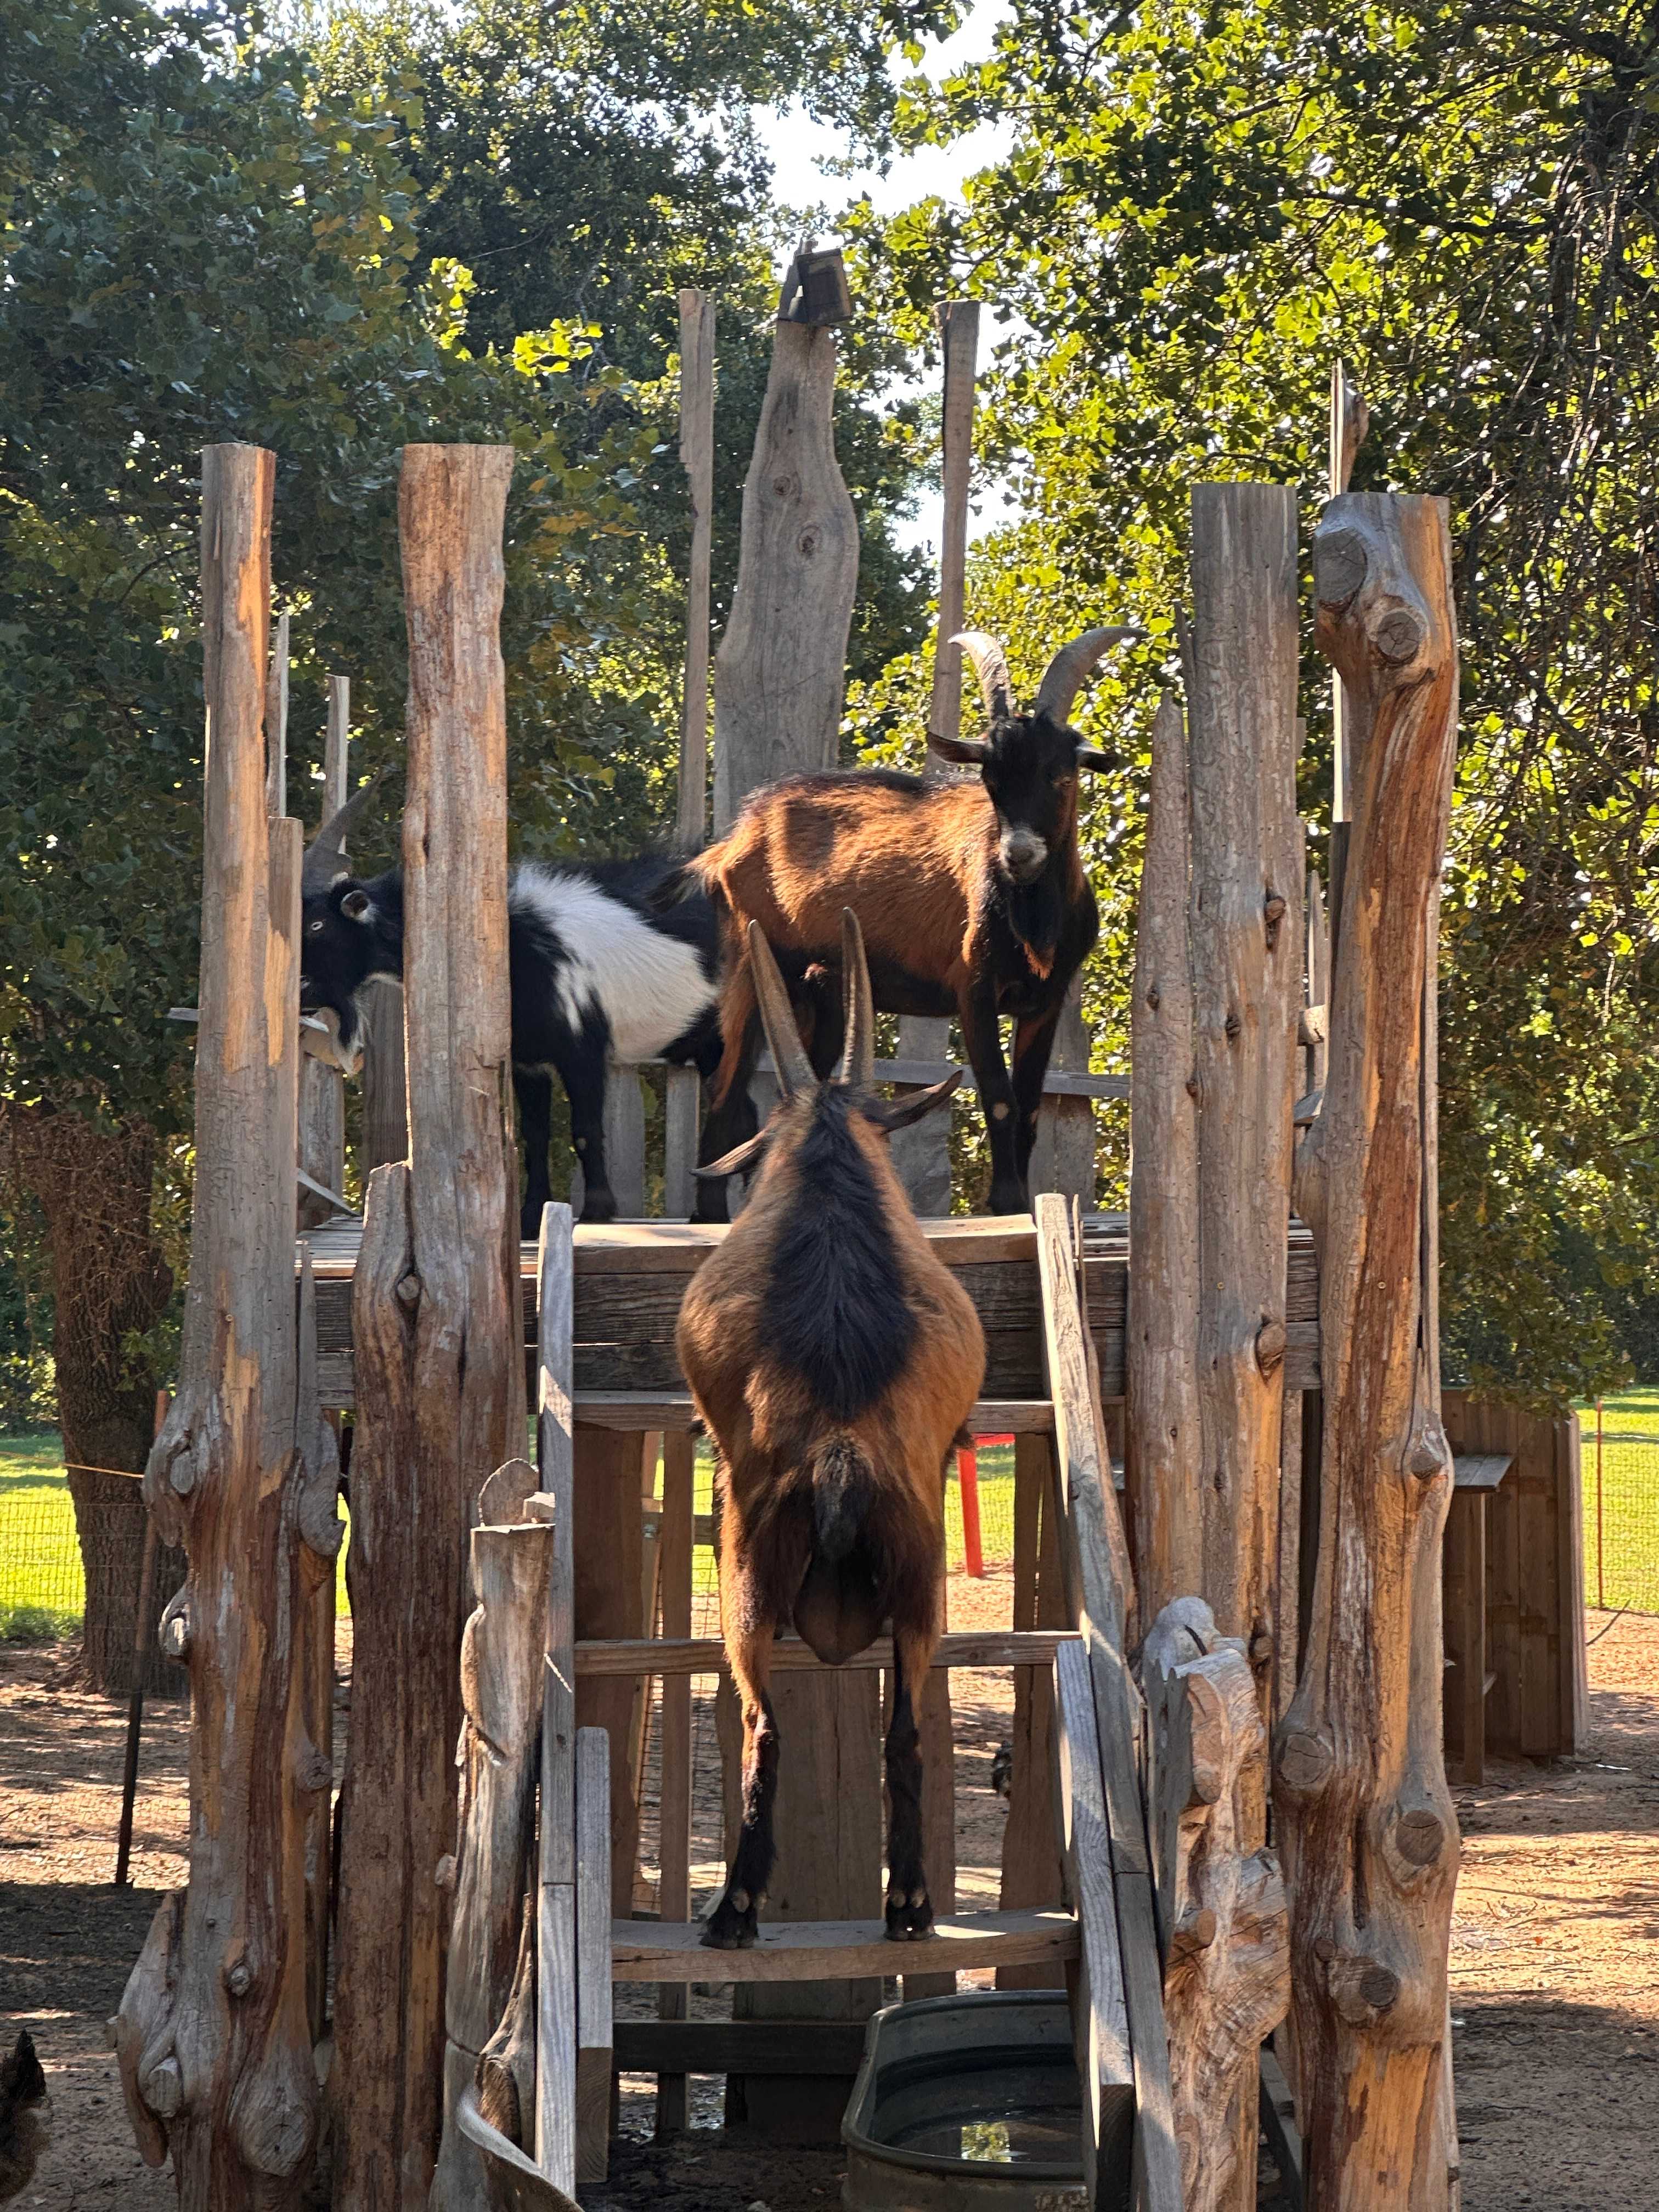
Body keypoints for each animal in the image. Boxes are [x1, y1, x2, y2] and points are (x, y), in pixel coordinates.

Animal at [298, 789, 759, 1231]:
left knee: (730, 1106)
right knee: (744, 1110)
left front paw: (596, 1211)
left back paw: (712, 1211)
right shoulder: (527, 1058)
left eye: (318, 925)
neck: (511, 938)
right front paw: (530, 1217)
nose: (299, 989)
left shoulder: (582, 1048)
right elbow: (534, 1135)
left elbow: (585, 1130)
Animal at [676, 910, 985, 1949]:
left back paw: (733, 1909)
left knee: (763, 1723)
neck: (826, 1151)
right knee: (908, 1730)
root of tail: (841, 1456)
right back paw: (910, 1904)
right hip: (923, 1583)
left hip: (747, 1574)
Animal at [677, 626, 1137, 1215]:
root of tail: (732, 841)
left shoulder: (1046, 1000)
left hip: (821, 996)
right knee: (726, 1087)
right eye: (991, 778)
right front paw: (1007, 1203)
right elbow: (1000, 1097)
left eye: (1061, 774)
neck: (1034, 917)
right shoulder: (973, 989)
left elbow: (1031, 1104)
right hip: (754, 965)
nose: (1019, 854)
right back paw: (709, 1213)